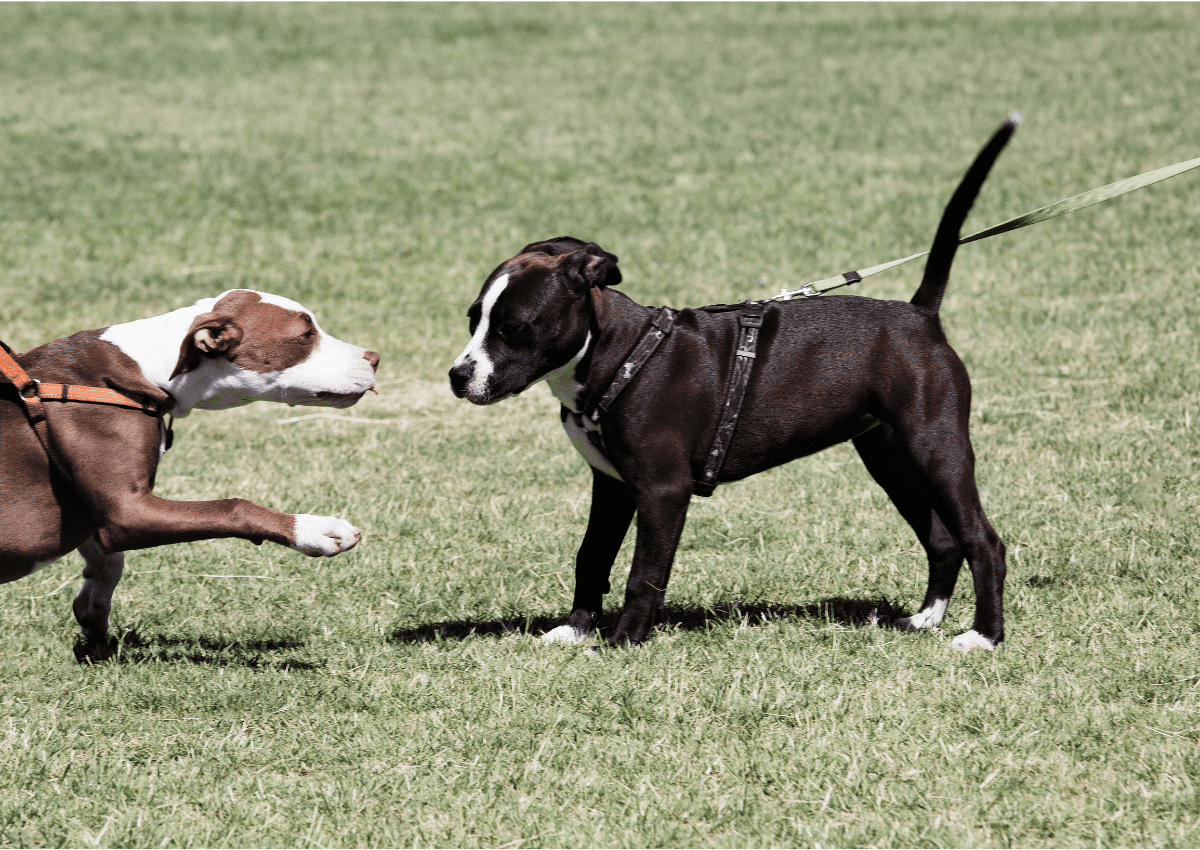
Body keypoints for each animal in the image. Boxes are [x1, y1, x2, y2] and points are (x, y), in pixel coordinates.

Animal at [2, 289, 376, 653]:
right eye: (306, 334)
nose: (374, 358)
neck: (146, 368)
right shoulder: (128, 510)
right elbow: (235, 507)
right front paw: (314, 529)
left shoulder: (102, 511)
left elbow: (109, 561)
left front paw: (93, 613)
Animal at [448, 116, 1012, 653]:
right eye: (474, 318)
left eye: (514, 327)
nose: (457, 376)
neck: (619, 355)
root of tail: (920, 314)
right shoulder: (610, 485)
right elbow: (592, 556)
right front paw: (576, 629)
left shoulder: (662, 491)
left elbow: (643, 574)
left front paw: (623, 641)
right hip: (890, 457)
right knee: (943, 540)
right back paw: (926, 618)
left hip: (937, 450)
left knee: (984, 541)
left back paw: (984, 636)